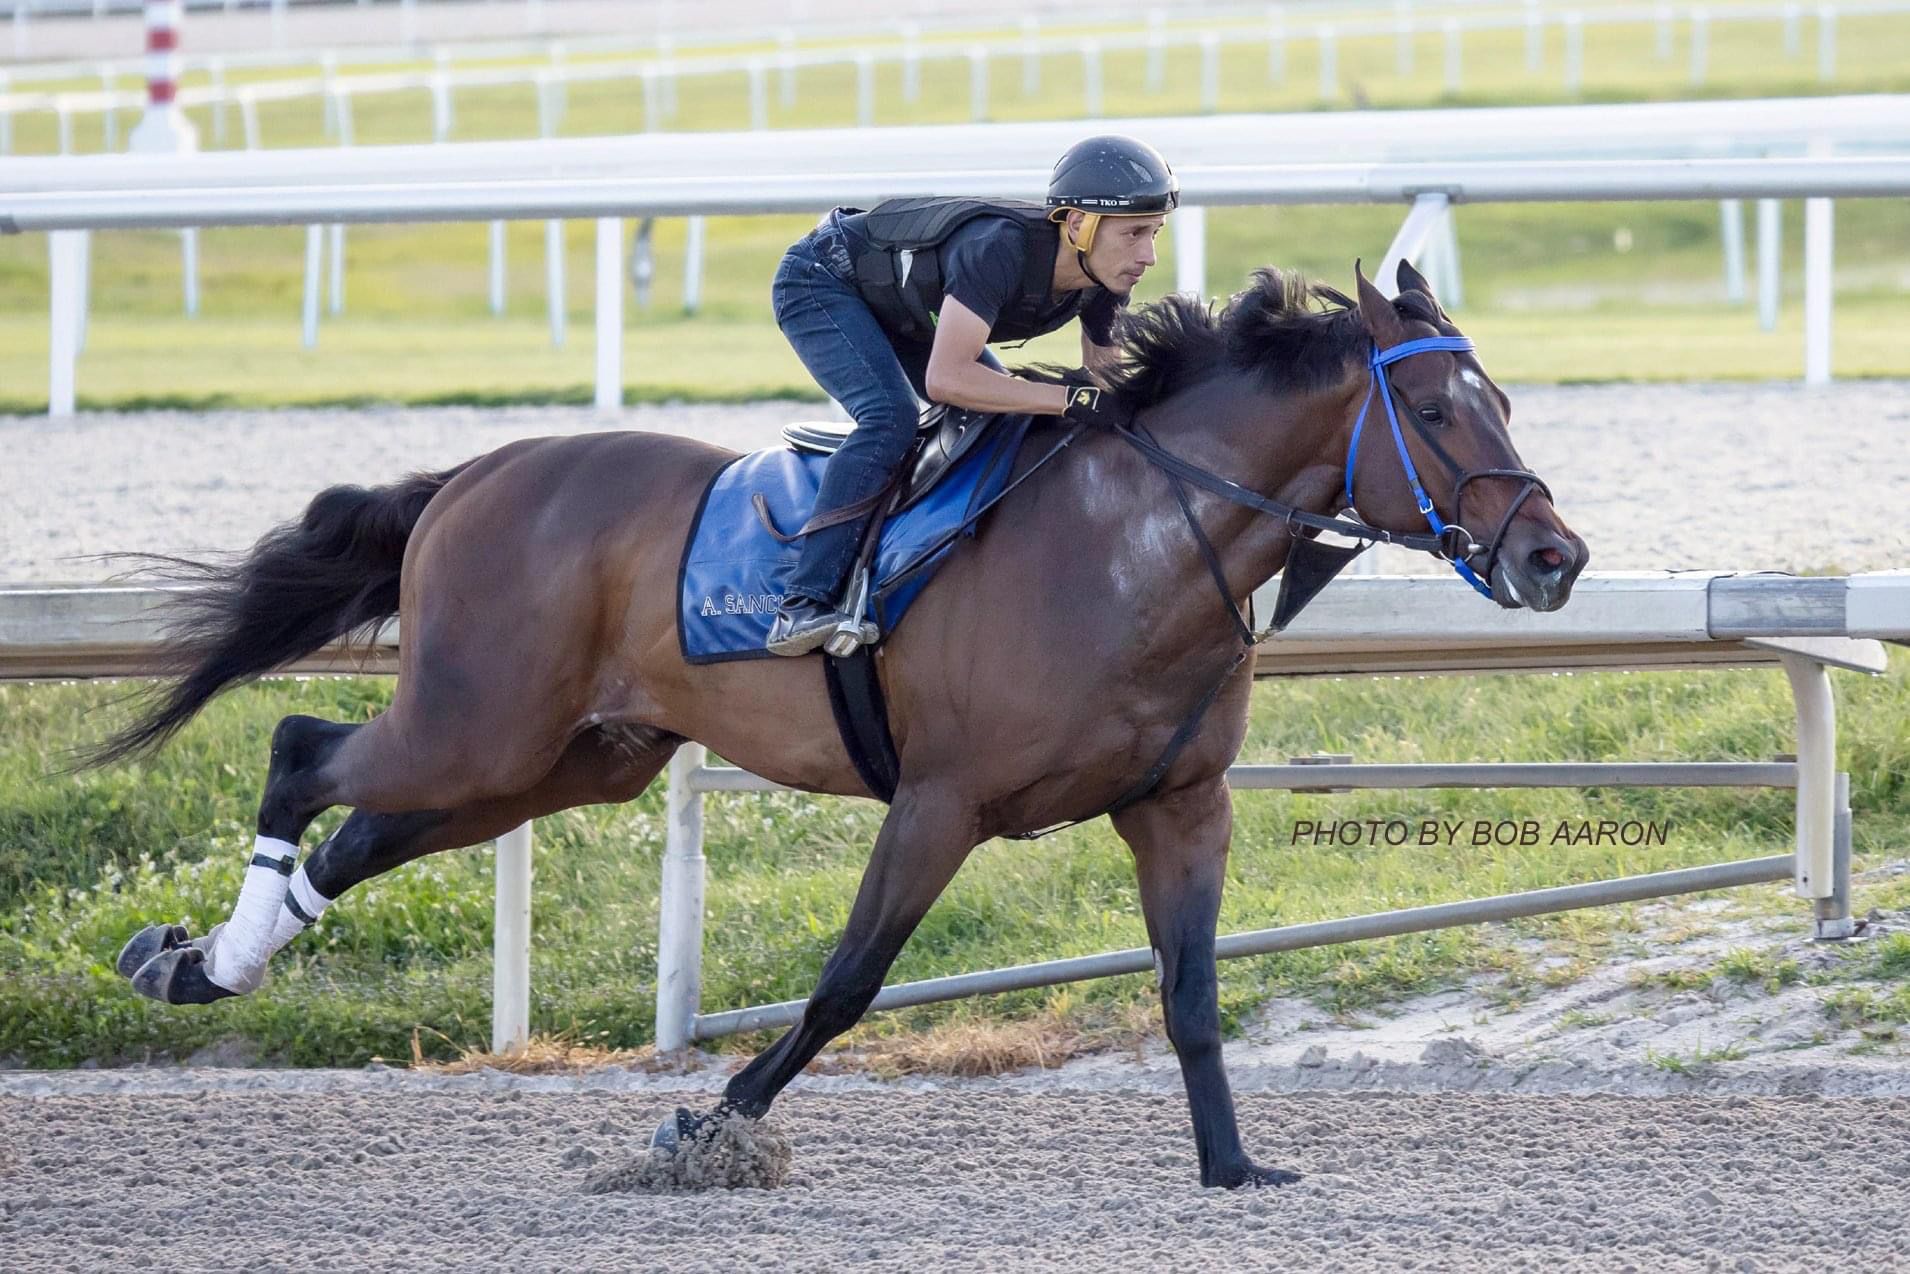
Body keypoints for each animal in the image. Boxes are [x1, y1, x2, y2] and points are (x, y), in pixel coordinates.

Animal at [89, 255, 1581, 1184]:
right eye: (1435, 406)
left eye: (1504, 398)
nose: (1551, 556)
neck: (1128, 550)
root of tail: (475, 472)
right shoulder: (939, 801)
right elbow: (847, 981)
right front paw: (707, 1124)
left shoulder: (1177, 803)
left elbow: (1192, 992)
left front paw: (1231, 1164)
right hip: (480, 721)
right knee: (301, 752)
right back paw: (202, 951)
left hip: (563, 761)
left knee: (362, 833)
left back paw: (202, 967)